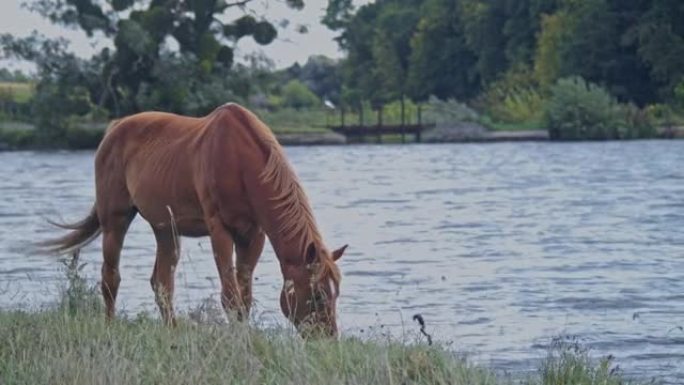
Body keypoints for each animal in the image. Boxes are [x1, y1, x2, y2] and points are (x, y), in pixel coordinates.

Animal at [44, 103, 348, 336]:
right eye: (318, 295)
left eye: (336, 293)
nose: (328, 338)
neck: (240, 161)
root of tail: (113, 129)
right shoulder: (220, 230)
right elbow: (230, 296)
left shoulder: (253, 234)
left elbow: (244, 297)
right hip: (115, 220)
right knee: (110, 277)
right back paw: (110, 327)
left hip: (165, 228)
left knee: (162, 282)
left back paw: (172, 331)